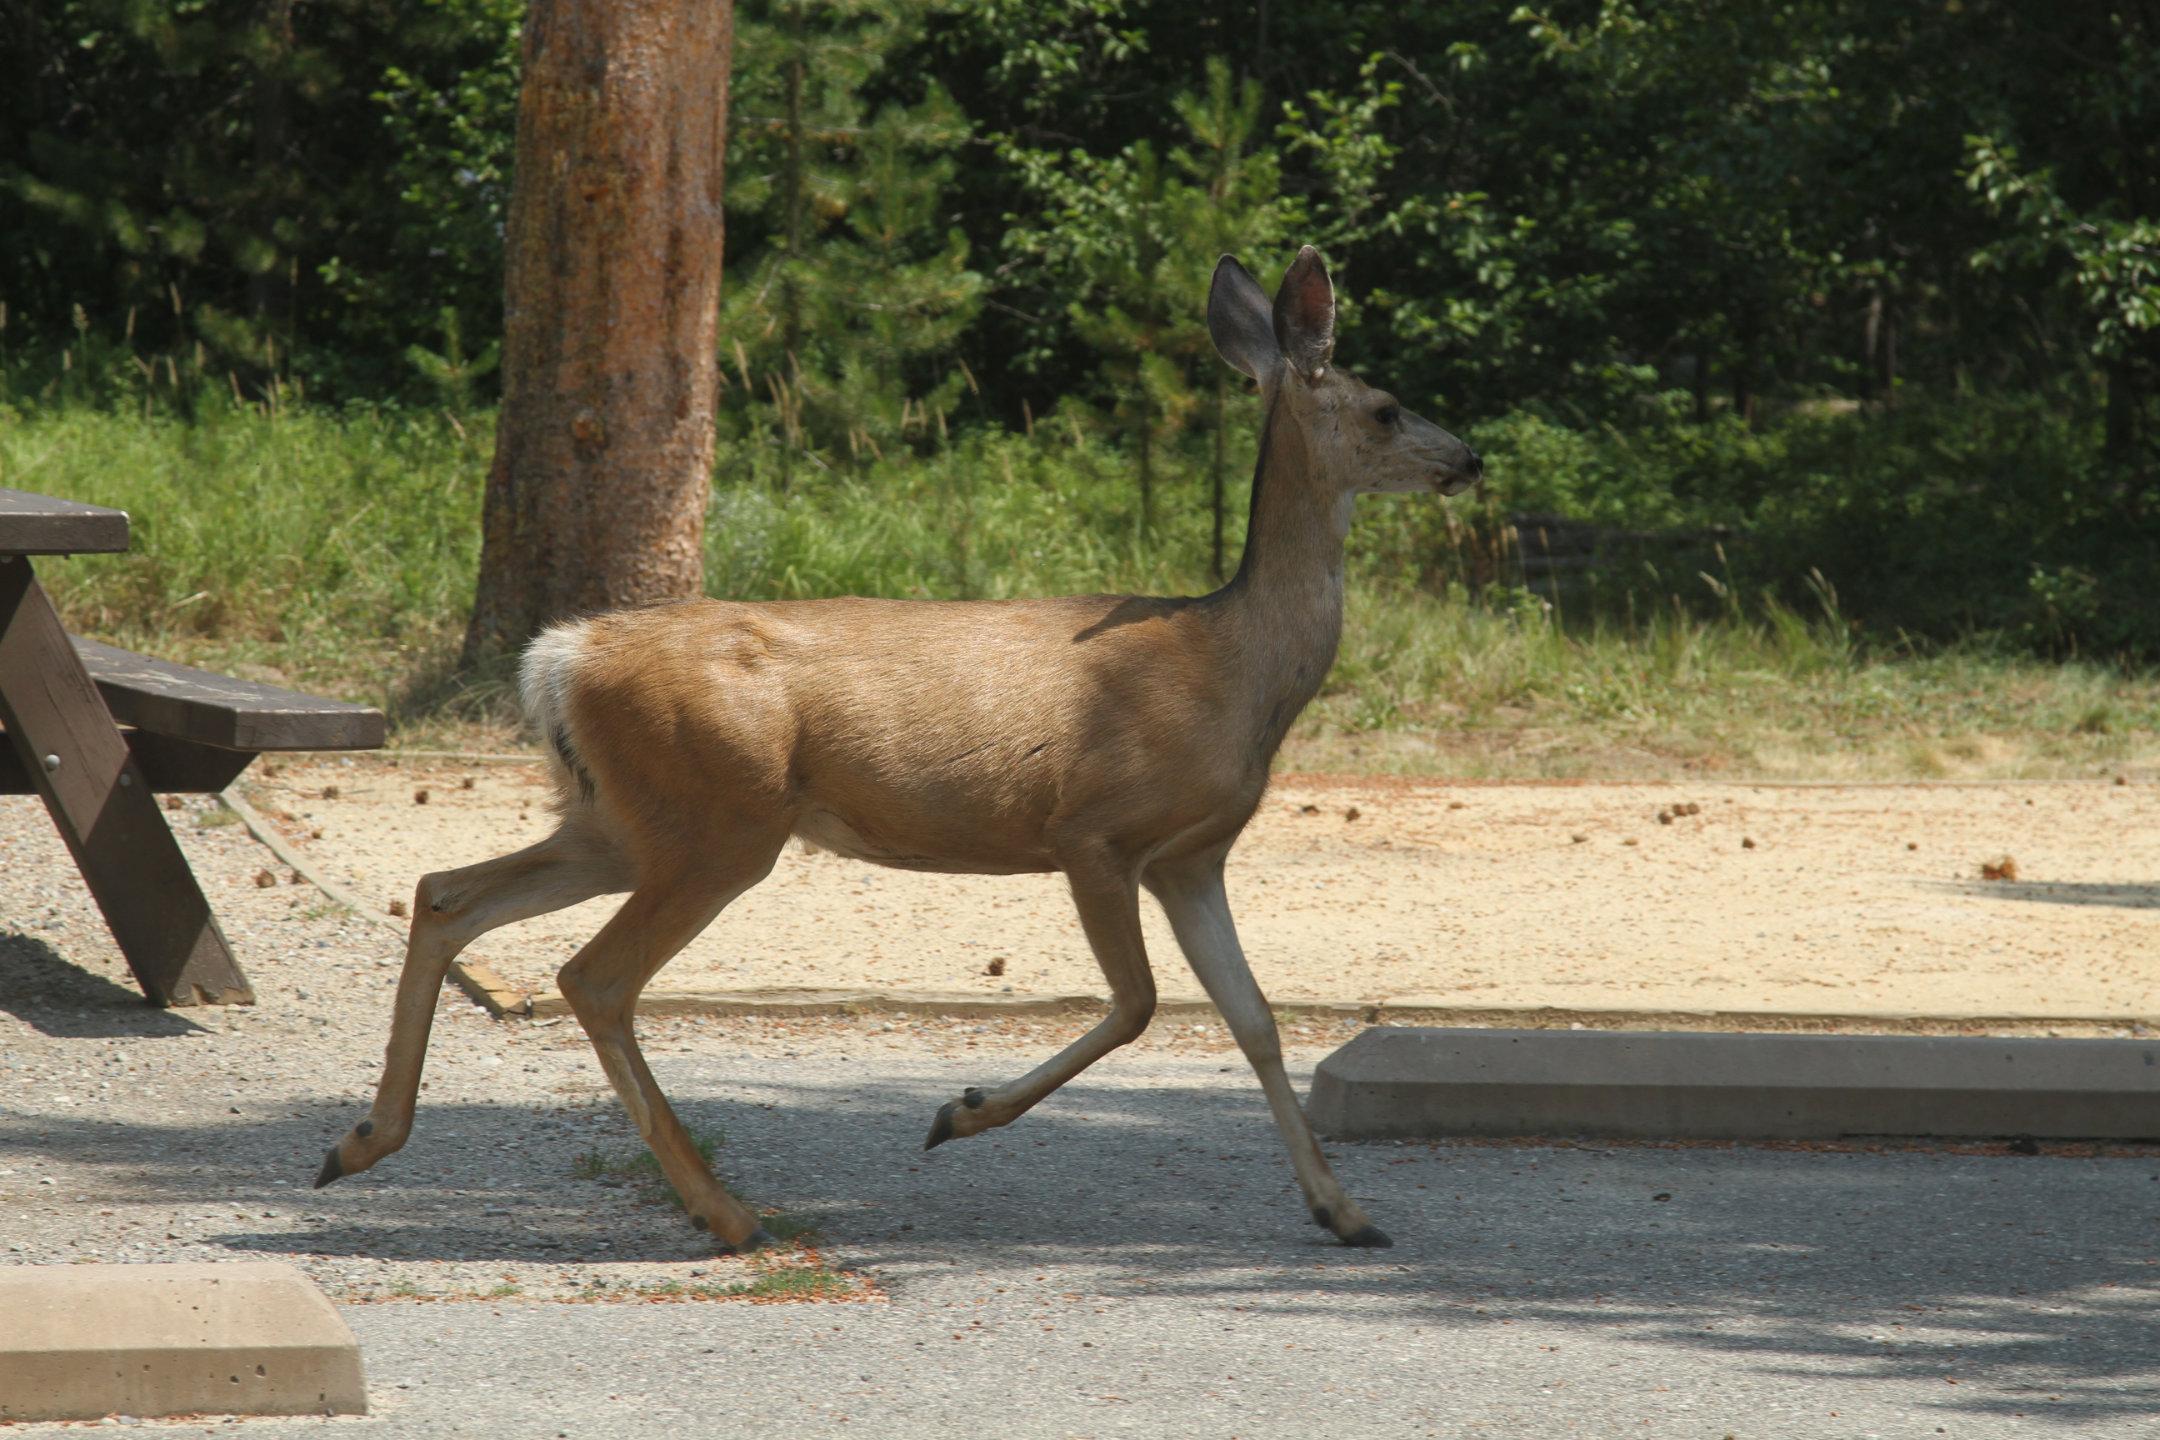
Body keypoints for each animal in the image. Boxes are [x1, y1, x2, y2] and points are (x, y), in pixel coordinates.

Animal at [315, 248, 1486, 1252]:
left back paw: (361, 1143)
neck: (1233, 667)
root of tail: (558, 657)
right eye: (1385, 405)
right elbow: (1140, 1005)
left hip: (620, 818)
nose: (1470, 457)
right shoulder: (1094, 830)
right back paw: (727, 1214)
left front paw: (1345, 1211)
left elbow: (1256, 1020)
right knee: (593, 975)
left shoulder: (1194, 856)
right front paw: (957, 1113)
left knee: (446, 893)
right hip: (717, 821)